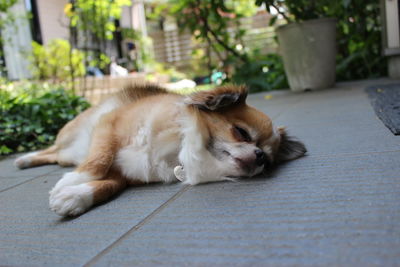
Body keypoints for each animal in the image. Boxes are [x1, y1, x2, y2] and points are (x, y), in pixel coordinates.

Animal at [13, 84, 306, 218]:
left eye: (268, 160)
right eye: (242, 133)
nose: (259, 158)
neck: (179, 147)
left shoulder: (124, 176)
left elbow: (107, 185)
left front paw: (73, 197)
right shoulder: (109, 125)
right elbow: (99, 160)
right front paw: (71, 182)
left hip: (67, 154)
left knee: (54, 155)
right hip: (70, 137)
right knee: (52, 148)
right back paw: (24, 159)